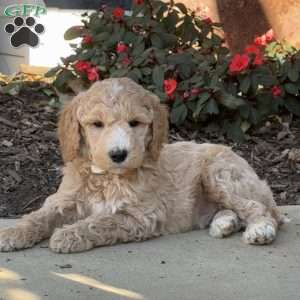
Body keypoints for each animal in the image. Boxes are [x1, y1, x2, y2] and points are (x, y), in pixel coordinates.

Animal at [0, 78, 286, 253]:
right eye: (96, 124)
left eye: (135, 123)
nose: (118, 154)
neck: (107, 177)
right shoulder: (65, 199)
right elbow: (39, 216)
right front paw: (12, 233)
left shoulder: (141, 214)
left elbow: (102, 222)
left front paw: (68, 235)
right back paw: (223, 223)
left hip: (220, 174)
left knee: (259, 208)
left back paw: (260, 228)